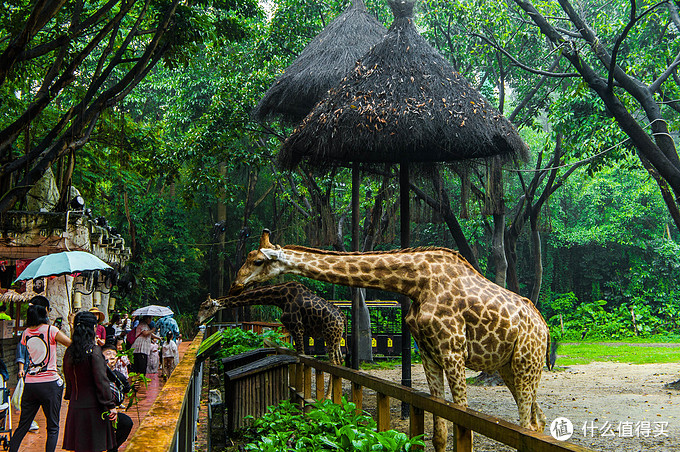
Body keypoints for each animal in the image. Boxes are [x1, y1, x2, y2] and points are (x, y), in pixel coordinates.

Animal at [197, 280, 346, 370]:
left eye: (206, 307)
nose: (197, 321)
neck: (280, 298)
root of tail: (343, 318)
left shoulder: (297, 327)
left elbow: (302, 356)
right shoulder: (294, 329)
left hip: (330, 336)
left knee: (333, 362)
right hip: (337, 339)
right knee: (339, 360)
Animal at [231, 231, 548, 450]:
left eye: (257, 260)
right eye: (245, 258)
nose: (235, 285)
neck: (416, 283)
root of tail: (544, 329)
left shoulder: (453, 350)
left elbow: (462, 425)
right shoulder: (430, 355)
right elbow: (439, 435)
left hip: (526, 362)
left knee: (526, 424)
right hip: (510, 368)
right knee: (537, 421)